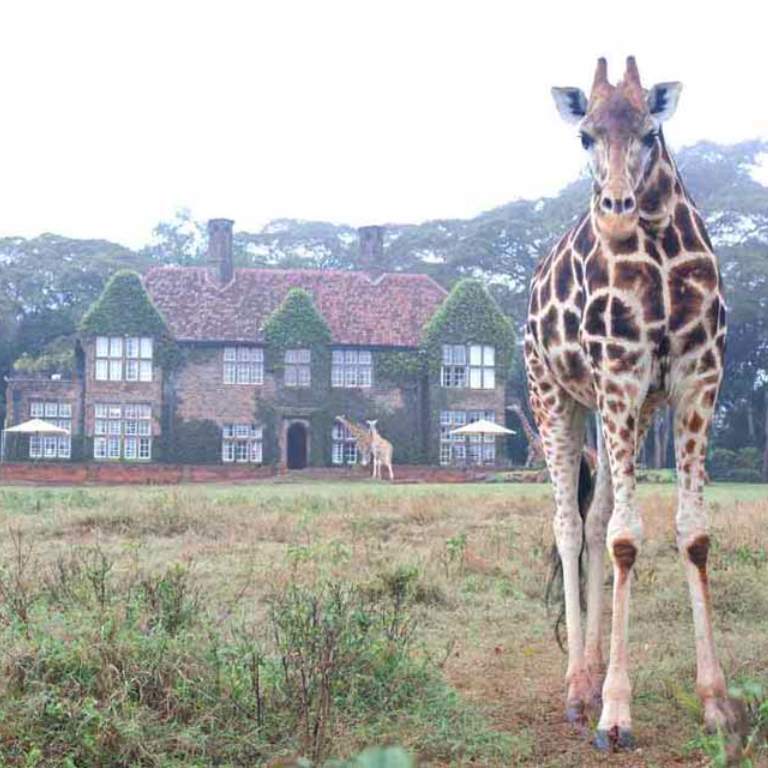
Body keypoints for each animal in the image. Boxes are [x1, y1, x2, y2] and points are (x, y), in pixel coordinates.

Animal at [525, 57, 737, 750]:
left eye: (650, 132)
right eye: (585, 136)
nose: (616, 212)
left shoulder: (698, 379)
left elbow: (691, 535)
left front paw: (716, 703)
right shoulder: (619, 372)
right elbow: (625, 538)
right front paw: (616, 713)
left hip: (630, 411)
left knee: (593, 521)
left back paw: (590, 675)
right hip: (554, 395)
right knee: (568, 524)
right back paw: (576, 689)